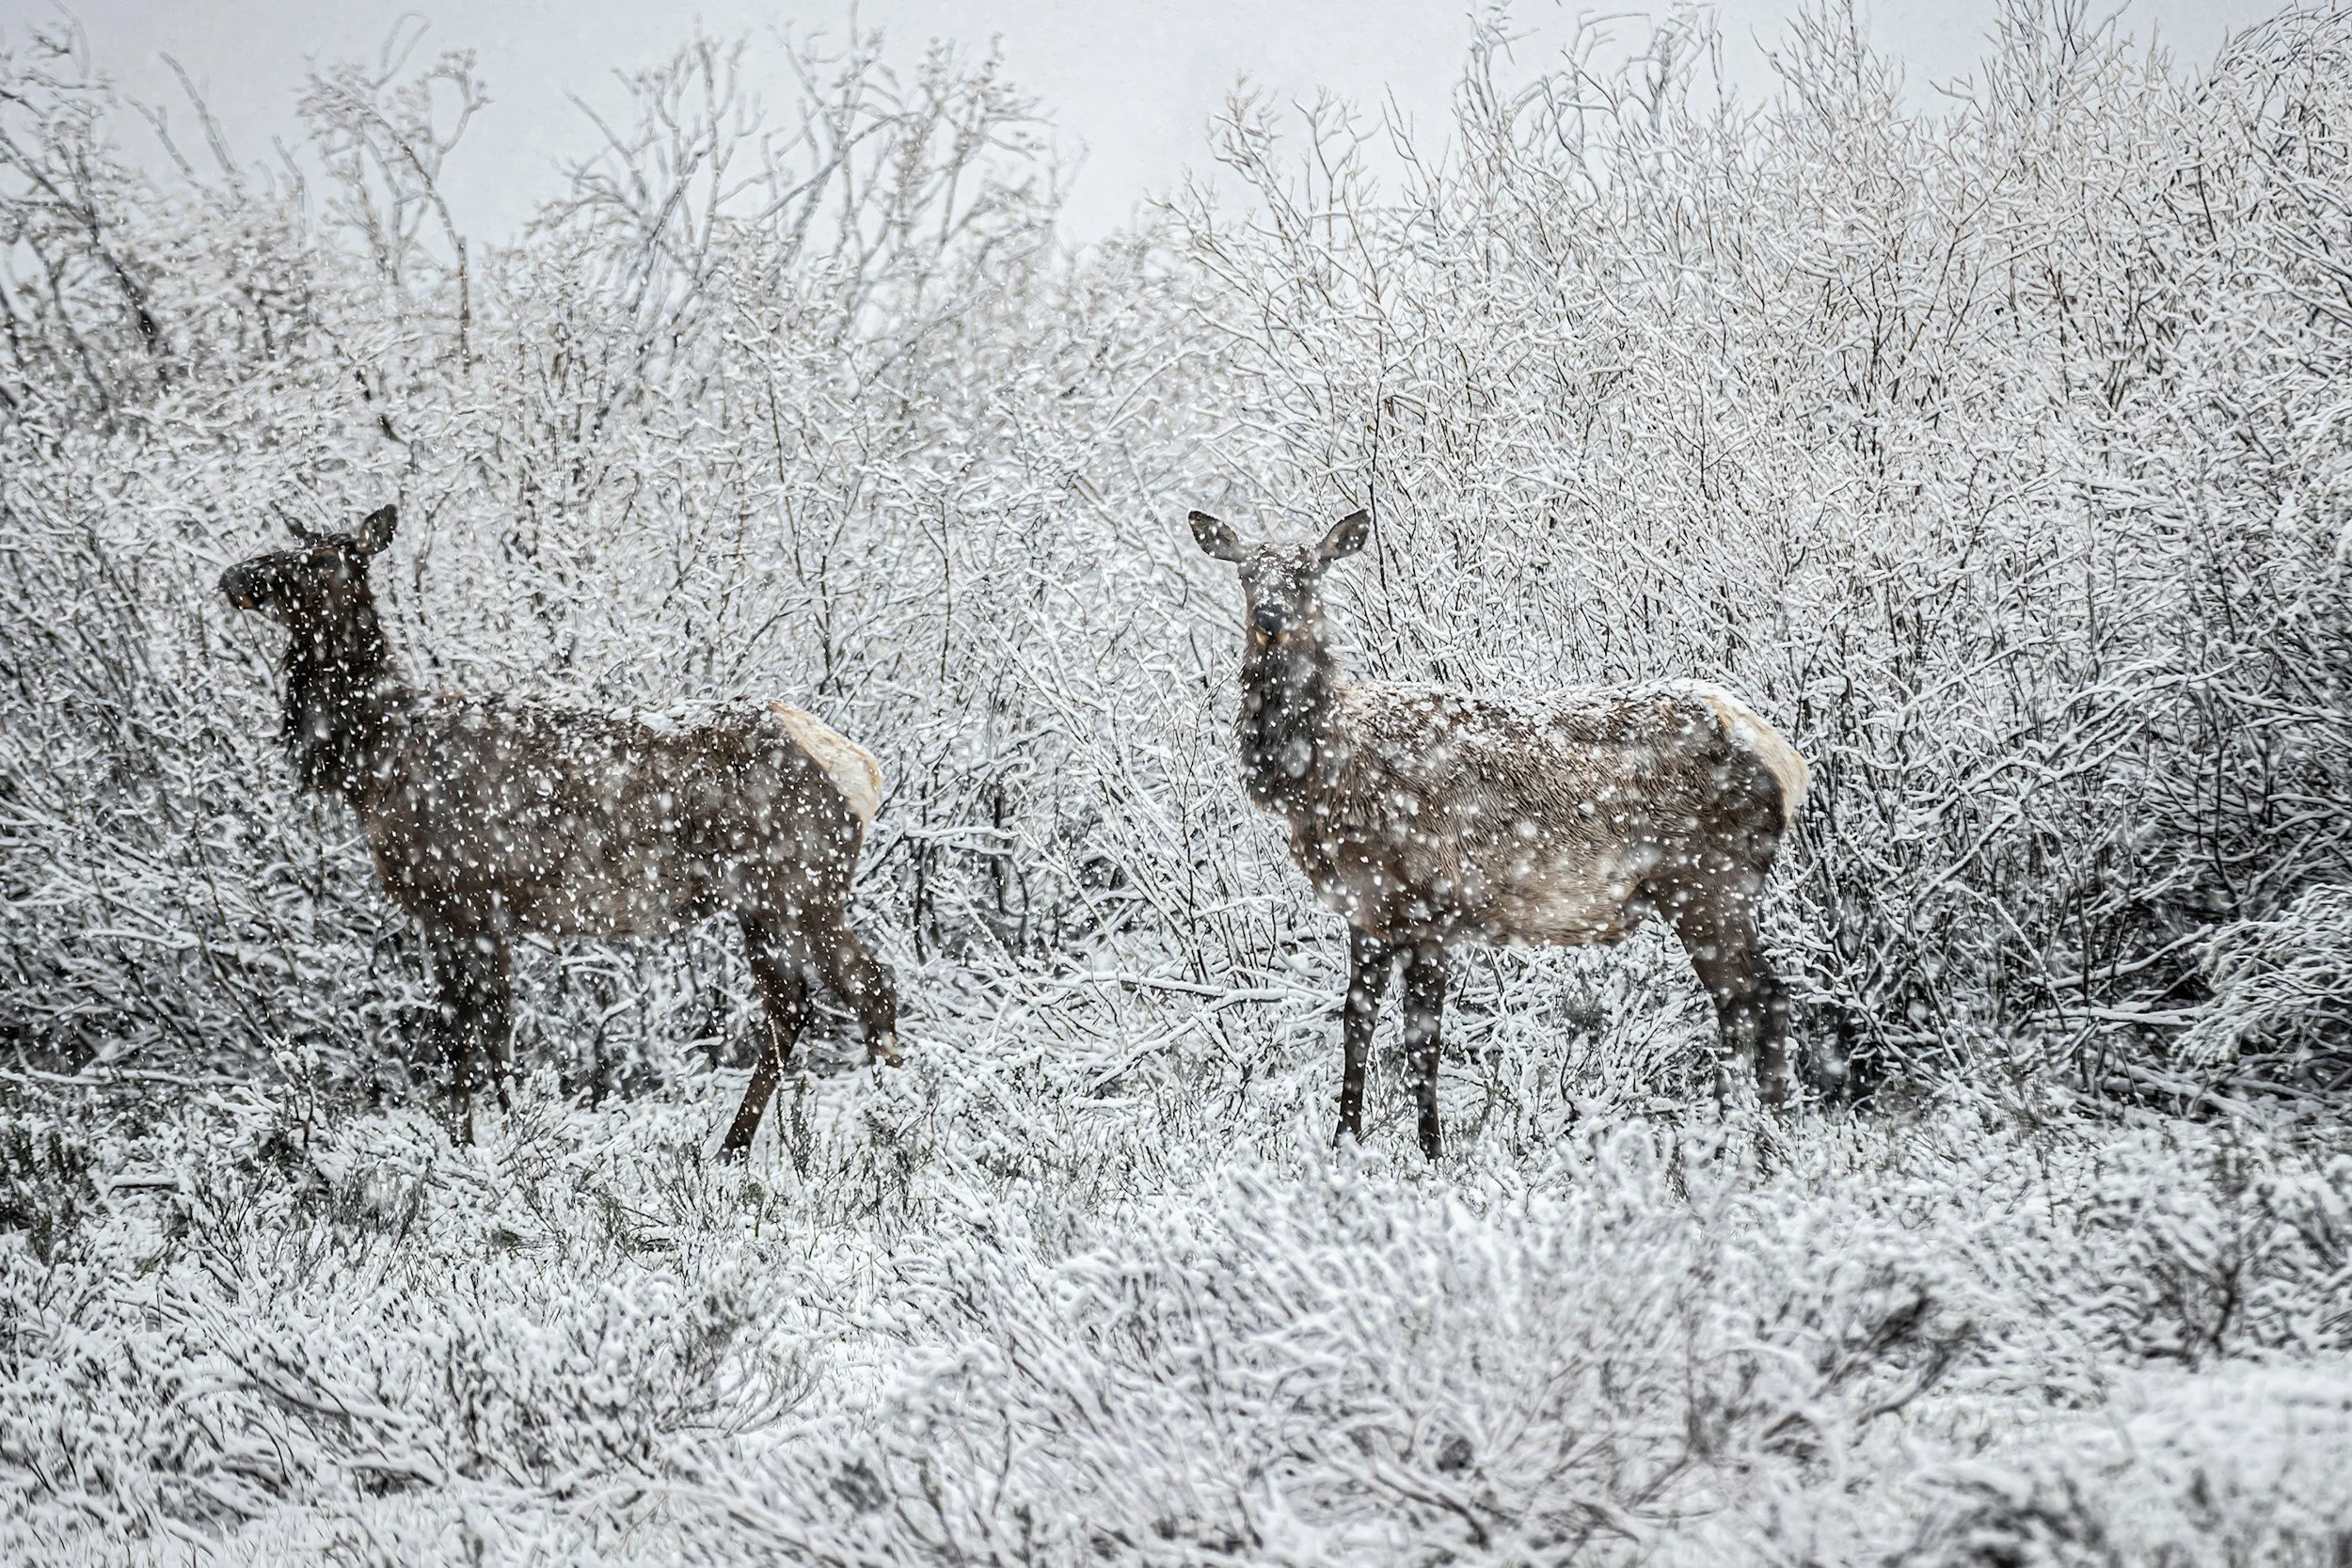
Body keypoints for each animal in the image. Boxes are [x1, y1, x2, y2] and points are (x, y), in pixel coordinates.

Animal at [220, 504, 900, 1158]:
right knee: (790, 1005)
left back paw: (893, 1131)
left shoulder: (460, 898)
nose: (235, 577)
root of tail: (864, 770)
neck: (373, 762)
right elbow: (486, 1029)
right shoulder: (476, 913)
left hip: (803, 886)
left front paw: (486, 1144)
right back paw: (730, 1150)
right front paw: (494, 1135)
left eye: (322, 558)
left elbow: (467, 1031)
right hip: (760, 904)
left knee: (872, 987)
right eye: (295, 542)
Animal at [1190, 507, 1810, 1159]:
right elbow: (1355, 1024)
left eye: (1307, 572)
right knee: (1757, 999)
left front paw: (1433, 1153)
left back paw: (1738, 1137)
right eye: (1246, 574)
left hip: (1711, 882)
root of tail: (1786, 759)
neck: (1322, 778)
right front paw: (1344, 1146)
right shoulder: (1365, 910)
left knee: (1753, 998)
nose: (1268, 620)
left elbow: (1422, 1039)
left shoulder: (1431, 905)